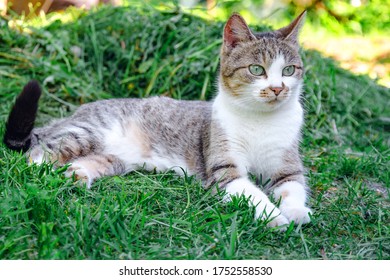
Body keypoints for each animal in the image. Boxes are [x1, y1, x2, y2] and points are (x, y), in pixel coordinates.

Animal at [3, 11, 312, 230]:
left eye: (288, 70)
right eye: (257, 70)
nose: (277, 88)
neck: (262, 120)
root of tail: (75, 113)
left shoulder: (288, 167)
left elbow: (294, 187)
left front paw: (296, 212)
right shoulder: (224, 169)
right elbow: (252, 192)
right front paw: (273, 216)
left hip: (111, 159)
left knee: (78, 163)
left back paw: (75, 176)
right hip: (86, 134)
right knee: (36, 155)